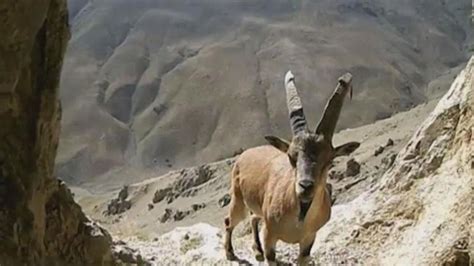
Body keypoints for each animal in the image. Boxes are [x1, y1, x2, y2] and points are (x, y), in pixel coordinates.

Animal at [225, 70, 360, 264]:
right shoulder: (270, 234)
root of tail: (245, 154)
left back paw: (257, 251)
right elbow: (270, 255)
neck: (299, 219)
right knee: (230, 221)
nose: (305, 186)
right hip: (238, 199)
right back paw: (230, 252)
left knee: (253, 218)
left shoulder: (309, 238)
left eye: (329, 160)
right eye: (291, 157)